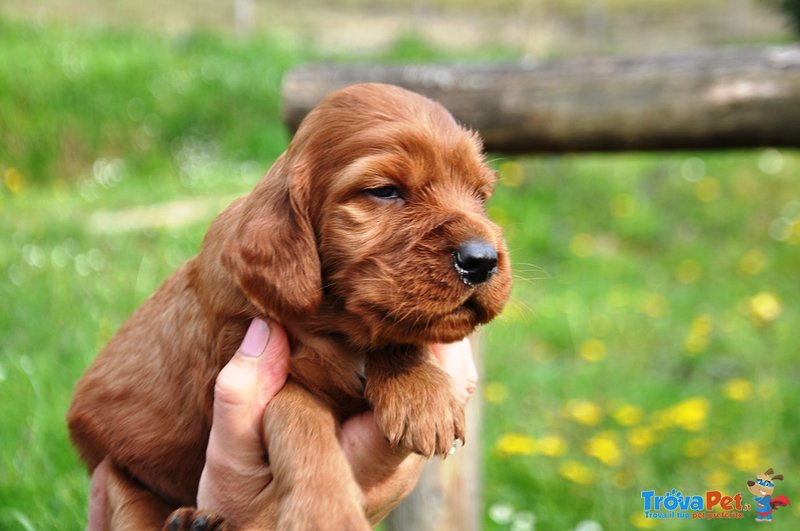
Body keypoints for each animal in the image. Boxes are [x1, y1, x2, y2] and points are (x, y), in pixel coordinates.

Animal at [65, 82, 510, 528]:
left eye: (480, 195)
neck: (332, 324)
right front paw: (326, 511)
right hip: (118, 477)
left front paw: (419, 393)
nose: (482, 260)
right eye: (385, 190)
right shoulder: (255, 362)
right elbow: (299, 418)